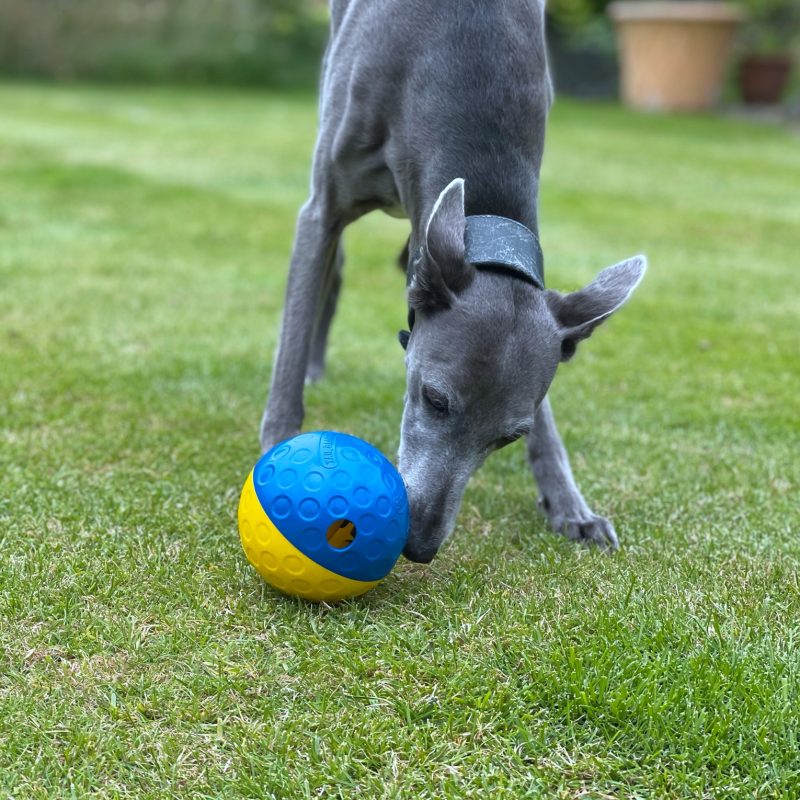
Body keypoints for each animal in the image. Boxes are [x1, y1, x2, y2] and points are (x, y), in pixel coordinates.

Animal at [260, 0, 648, 564]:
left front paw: (570, 505)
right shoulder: (323, 206)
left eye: (509, 436)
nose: (418, 545)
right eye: (434, 399)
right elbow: (290, 346)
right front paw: (275, 452)